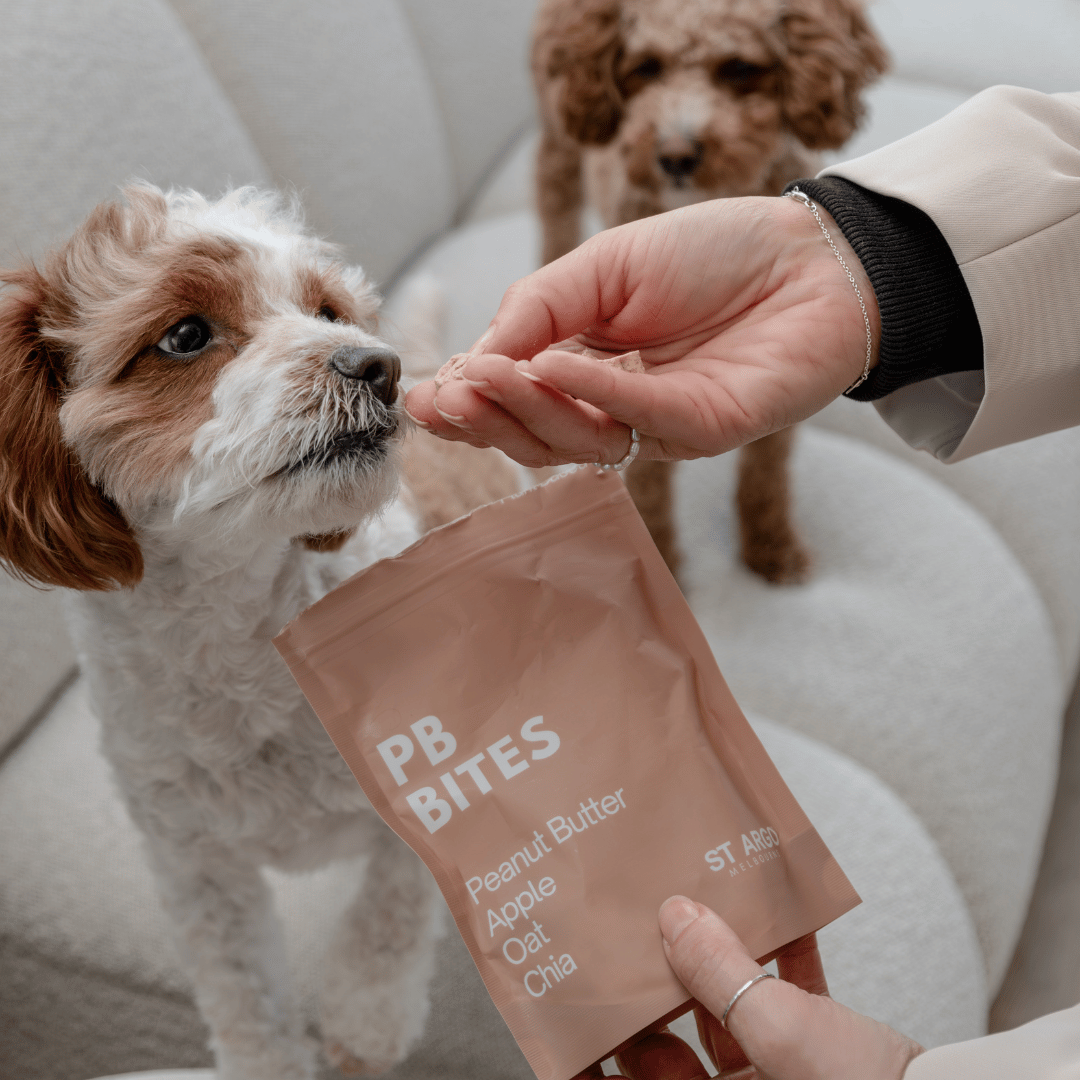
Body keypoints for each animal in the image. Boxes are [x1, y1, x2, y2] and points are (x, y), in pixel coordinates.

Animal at [0, 185, 518, 1080]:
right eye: (185, 336)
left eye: (327, 310)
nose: (377, 365)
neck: (238, 641)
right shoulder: (198, 869)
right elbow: (243, 991)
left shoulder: (428, 773)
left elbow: (393, 903)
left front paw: (366, 1013)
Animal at [531, 0, 885, 583]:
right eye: (645, 67)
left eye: (739, 69)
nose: (676, 155)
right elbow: (648, 482)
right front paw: (660, 557)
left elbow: (768, 461)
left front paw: (770, 545)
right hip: (559, 141)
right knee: (554, 214)